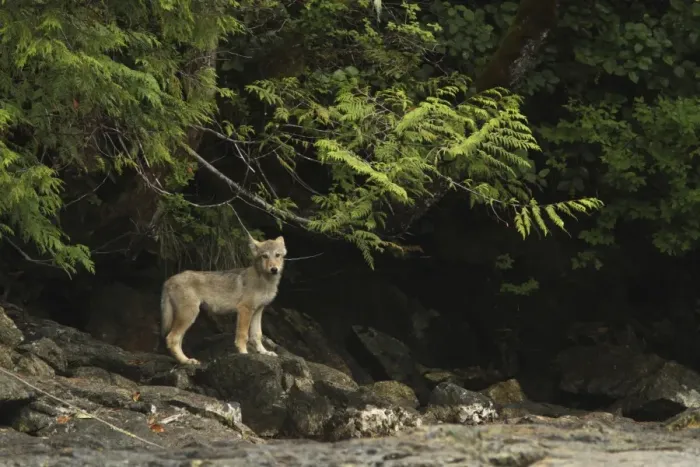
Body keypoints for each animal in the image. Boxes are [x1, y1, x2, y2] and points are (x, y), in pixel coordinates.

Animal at [160, 235, 286, 365]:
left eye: (277, 255)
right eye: (264, 256)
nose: (274, 269)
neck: (265, 282)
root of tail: (168, 280)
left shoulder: (258, 310)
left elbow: (257, 335)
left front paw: (264, 352)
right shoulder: (244, 309)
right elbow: (243, 335)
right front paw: (244, 353)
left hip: (187, 317)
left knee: (177, 340)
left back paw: (184, 360)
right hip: (189, 315)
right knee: (171, 339)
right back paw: (186, 361)